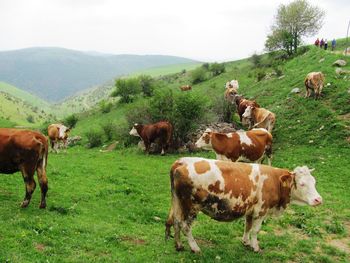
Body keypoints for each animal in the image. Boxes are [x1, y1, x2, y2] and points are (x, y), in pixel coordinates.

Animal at [165, 158, 322, 255]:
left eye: (314, 182)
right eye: (302, 184)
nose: (318, 200)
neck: (274, 180)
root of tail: (181, 161)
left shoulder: (250, 210)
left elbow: (248, 226)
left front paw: (246, 242)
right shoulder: (261, 211)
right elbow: (255, 230)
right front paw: (255, 247)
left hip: (178, 204)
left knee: (176, 222)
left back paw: (179, 245)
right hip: (191, 207)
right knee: (185, 226)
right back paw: (195, 247)